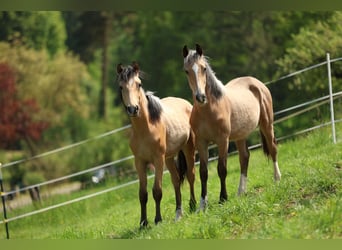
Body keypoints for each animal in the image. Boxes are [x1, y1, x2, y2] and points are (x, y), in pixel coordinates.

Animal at [117, 61, 195, 227]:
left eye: (139, 84)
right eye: (121, 87)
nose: (133, 109)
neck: (146, 128)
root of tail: (187, 104)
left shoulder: (158, 160)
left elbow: (157, 191)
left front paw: (158, 220)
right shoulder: (140, 162)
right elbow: (143, 194)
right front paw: (143, 223)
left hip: (188, 148)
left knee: (191, 175)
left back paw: (193, 205)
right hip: (169, 158)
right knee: (176, 181)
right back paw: (178, 213)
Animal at [183, 44, 282, 209]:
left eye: (204, 68)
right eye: (186, 71)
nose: (200, 97)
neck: (209, 109)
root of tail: (257, 83)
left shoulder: (223, 141)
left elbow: (221, 168)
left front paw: (223, 198)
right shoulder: (201, 142)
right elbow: (203, 172)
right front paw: (202, 204)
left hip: (267, 125)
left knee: (273, 149)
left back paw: (277, 178)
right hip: (241, 135)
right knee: (244, 157)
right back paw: (241, 191)